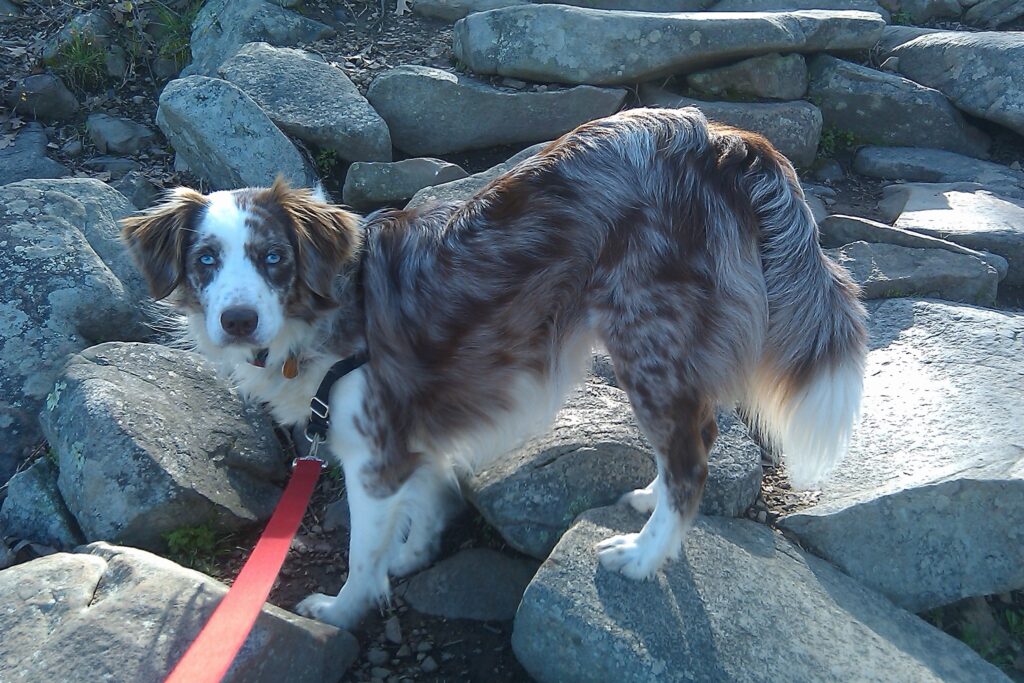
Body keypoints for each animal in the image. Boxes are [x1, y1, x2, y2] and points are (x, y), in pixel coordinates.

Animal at [123, 108, 868, 630]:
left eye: (272, 257)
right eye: (206, 261)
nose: (238, 319)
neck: (336, 304)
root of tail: (719, 138)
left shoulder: (373, 454)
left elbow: (362, 552)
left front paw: (344, 608)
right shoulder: (412, 435)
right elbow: (426, 503)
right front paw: (411, 557)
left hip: (647, 340)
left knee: (691, 459)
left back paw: (642, 555)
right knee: (690, 444)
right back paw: (648, 502)